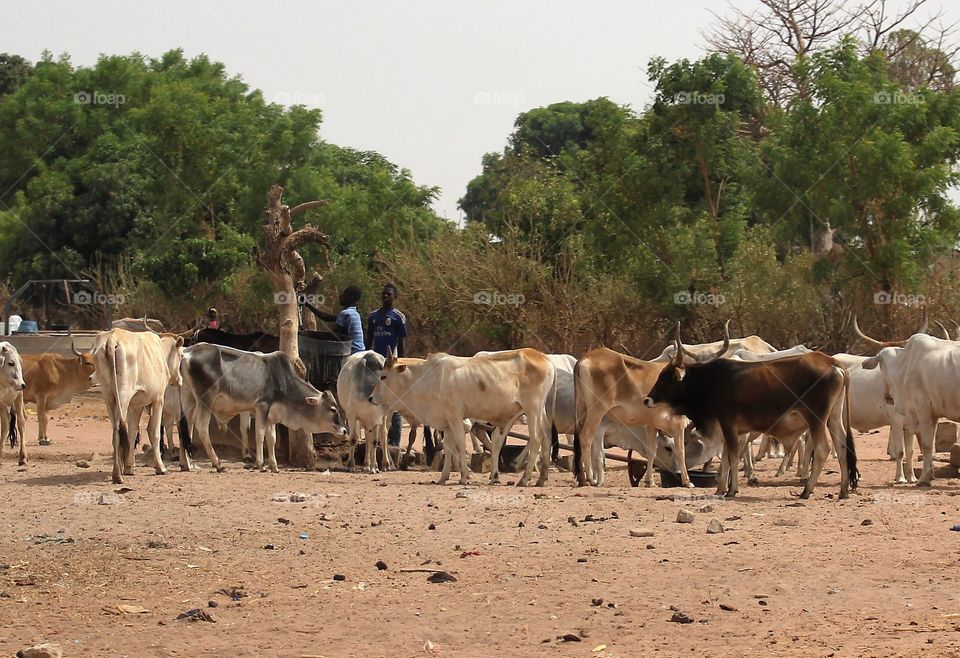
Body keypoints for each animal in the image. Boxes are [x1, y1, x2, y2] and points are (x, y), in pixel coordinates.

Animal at [92, 328, 184, 484]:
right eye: (181, 355)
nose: (180, 380)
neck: (160, 351)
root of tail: (112, 339)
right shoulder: (158, 400)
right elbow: (154, 432)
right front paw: (160, 467)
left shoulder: (135, 405)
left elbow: (132, 433)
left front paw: (129, 467)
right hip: (123, 395)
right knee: (118, 431)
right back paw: (117, 475)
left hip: (109, 397)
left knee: (116, 431)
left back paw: (118, 472)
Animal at [178, 343, 347, 473]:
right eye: (333, 409)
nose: (344, 431)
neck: (282, 379)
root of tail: (186, 353)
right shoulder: (262, 406)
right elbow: (260, 435)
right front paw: (261, 465)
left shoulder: (271, 416)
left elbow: (271, 439)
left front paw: (274, 466)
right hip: (205, 400)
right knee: (201, 428)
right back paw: (217, 464)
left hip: (189, 397)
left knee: (186, 427)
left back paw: (187, 464)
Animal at [370, 349, 556, 486]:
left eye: (383, 376)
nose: (371, 398)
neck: (428, 379)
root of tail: (544, 358)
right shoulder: (446, 423)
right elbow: (448, 447)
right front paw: (443, 477)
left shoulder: (455, 417)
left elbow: (459, 445)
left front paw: (464, 476)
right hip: (540, 412)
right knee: (546, 438)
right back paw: (540, 479)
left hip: (532, 410)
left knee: (536, 438)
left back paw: (524, 479)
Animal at [643, 326, 858, 499]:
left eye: (665, 377)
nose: (647, 400)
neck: (710, 381)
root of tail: (832, 363)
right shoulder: (730, 430)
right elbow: (726, 457)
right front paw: (721, 489)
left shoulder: (729, 425)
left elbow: (731, 456)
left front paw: (731, 490)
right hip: (833, 418)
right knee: (841, 446)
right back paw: (843, 491)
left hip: (816, 419)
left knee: (823, 449)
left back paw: (807, 491)